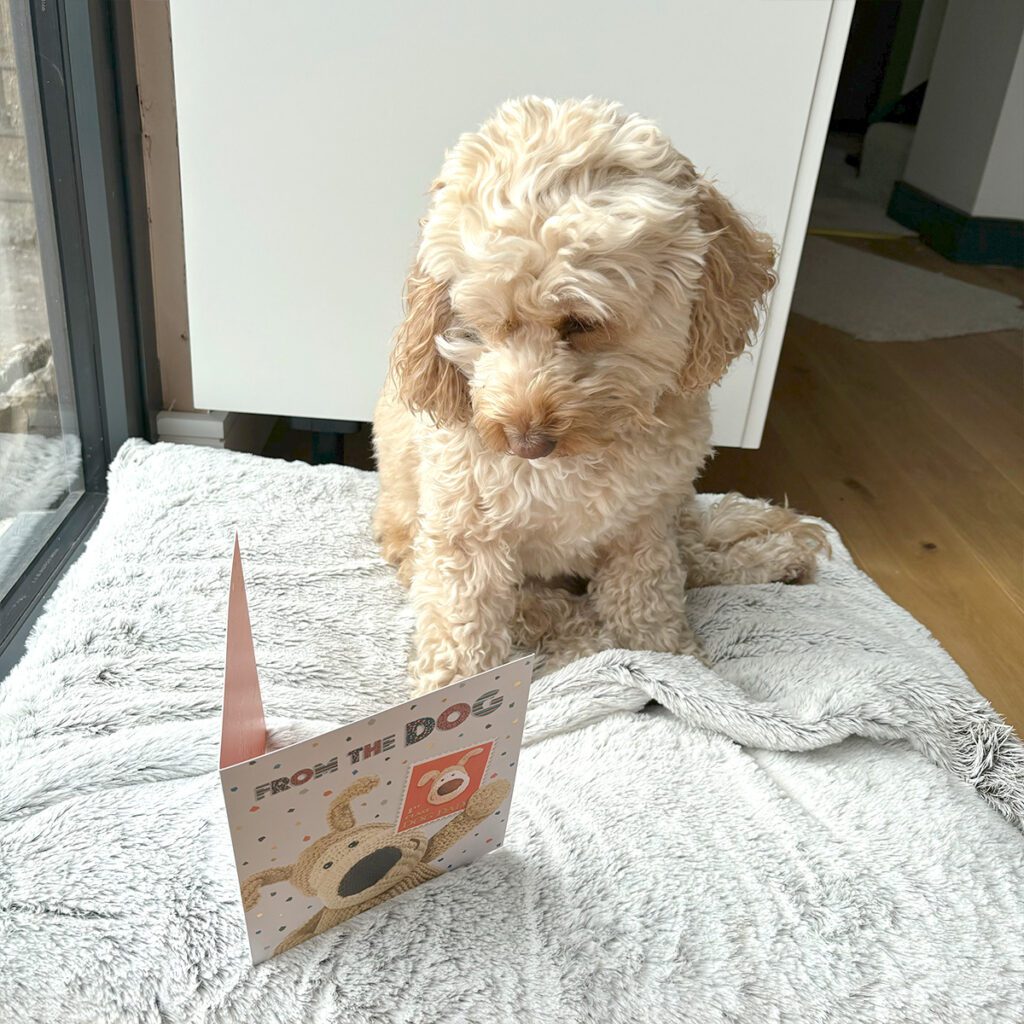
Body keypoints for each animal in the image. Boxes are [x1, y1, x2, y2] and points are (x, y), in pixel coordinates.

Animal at [372, 97, 827, 696]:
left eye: (581, 323)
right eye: (483, 326)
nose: (524, 442)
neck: (577, 458)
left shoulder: (644, 525)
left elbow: (648, 597)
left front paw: (672, 662)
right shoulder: (465, 534)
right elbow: (463, 623)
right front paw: (452, 694)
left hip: (672, 510)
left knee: (697, 556)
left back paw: (781, 554)